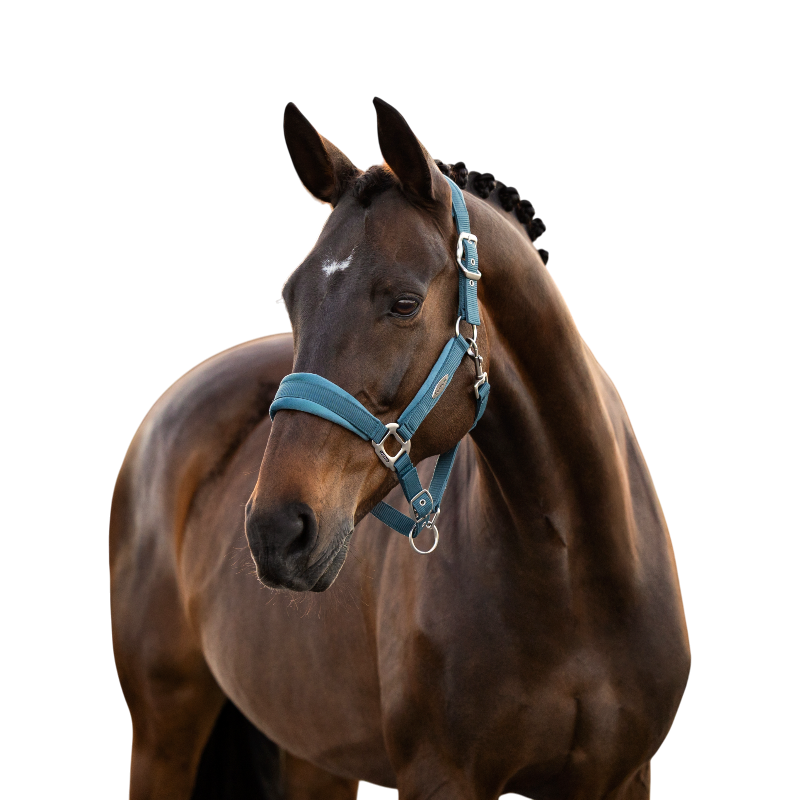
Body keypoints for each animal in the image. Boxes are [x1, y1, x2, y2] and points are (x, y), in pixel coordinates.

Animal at [110, 99, 690, 799]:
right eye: (290, 299)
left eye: (405, 302)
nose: (277, 530)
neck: (574, 574)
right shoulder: (442, 778)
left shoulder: (621, 778)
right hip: (162, 734)